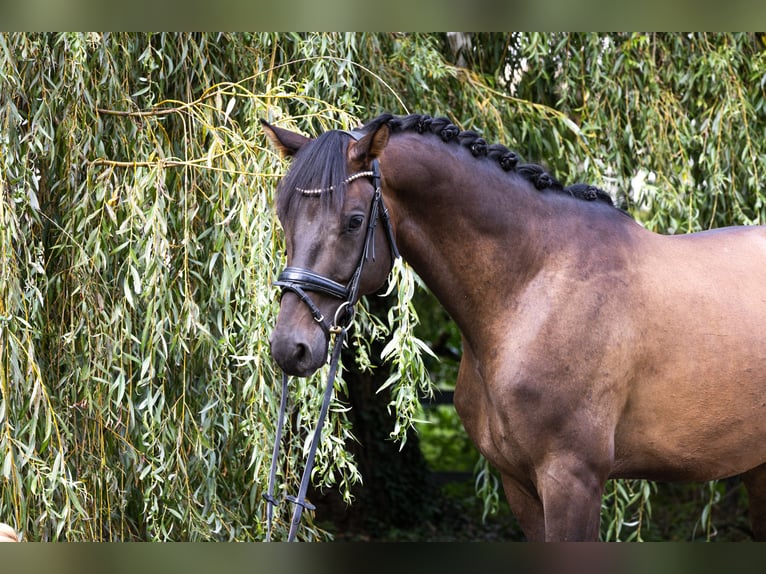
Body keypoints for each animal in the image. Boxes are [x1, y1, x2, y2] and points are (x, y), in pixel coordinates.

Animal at [264, 113, 766, 544]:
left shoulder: (573, 480)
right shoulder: (519, 485)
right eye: (283, 215)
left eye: (353, 221)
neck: (534, 287)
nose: (290, 347)